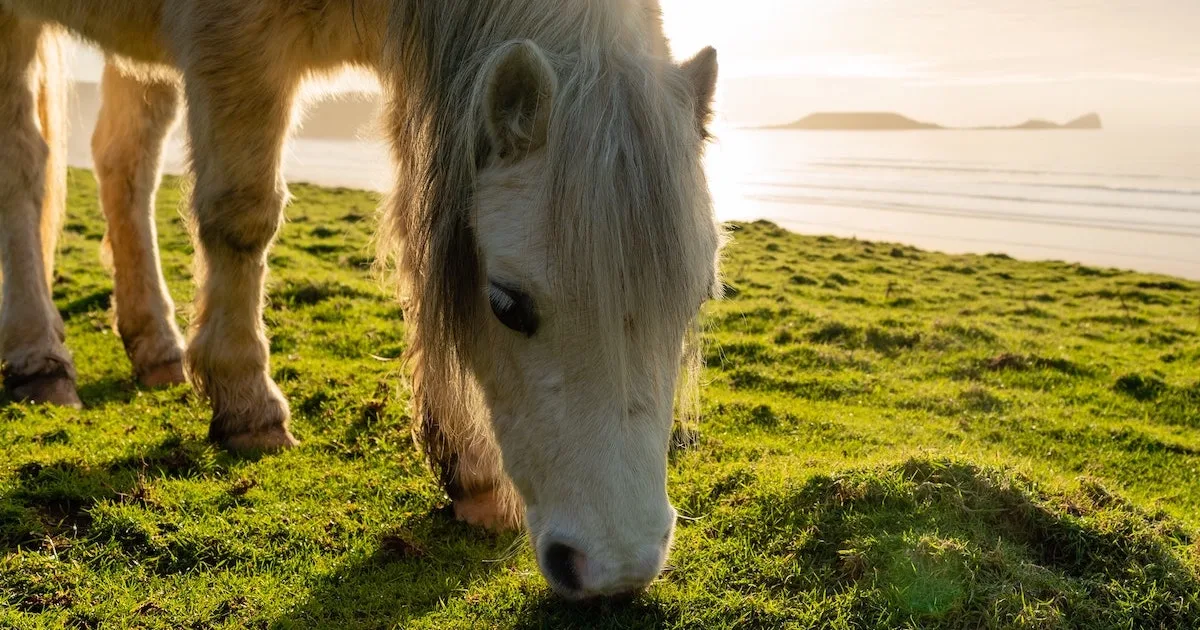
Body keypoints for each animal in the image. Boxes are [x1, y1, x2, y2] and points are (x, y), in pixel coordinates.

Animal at [0, 0, 720, 597]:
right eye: (506, 304)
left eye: (695, 302)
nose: (618, 566)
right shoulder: (230, 38)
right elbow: (243, 215)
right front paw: (246, 404)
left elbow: (417, 240)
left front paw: (470, 469)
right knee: (25, 163)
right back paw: (41, 359)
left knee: (124, 159)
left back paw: (155, 347)